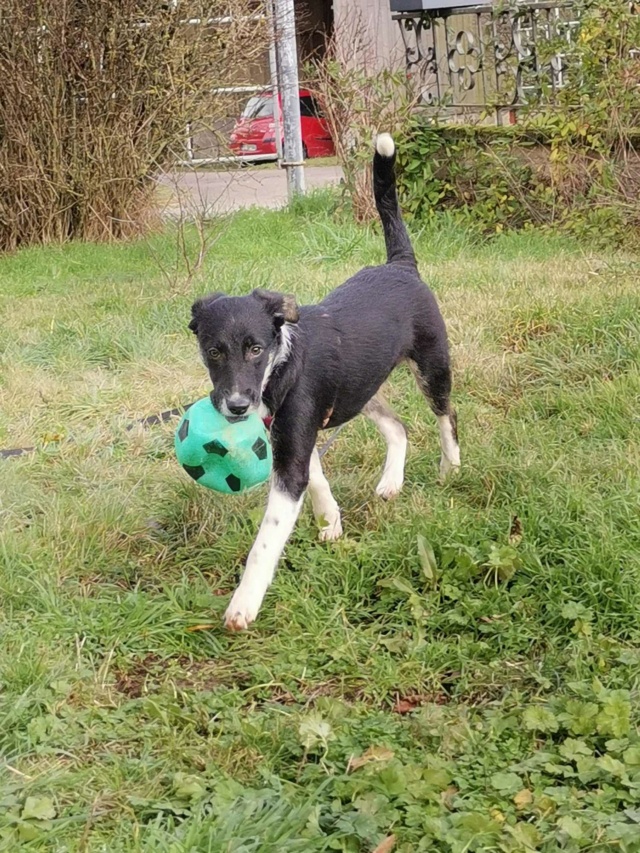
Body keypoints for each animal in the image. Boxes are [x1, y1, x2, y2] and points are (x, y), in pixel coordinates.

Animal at [186, 131, 460, 624]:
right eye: (213, 351)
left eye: (255, 349)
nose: (236, 407)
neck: (279, 369)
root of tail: (400, 264)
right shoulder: (295, 434)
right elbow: (316, 475)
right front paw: (331, 519)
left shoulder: (291, 453)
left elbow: (267, 539)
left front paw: (243, 604)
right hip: (361, 387)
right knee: (399, 426)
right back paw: (391, 483)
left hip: (432, 366)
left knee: (446, 416)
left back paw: (452, 467)